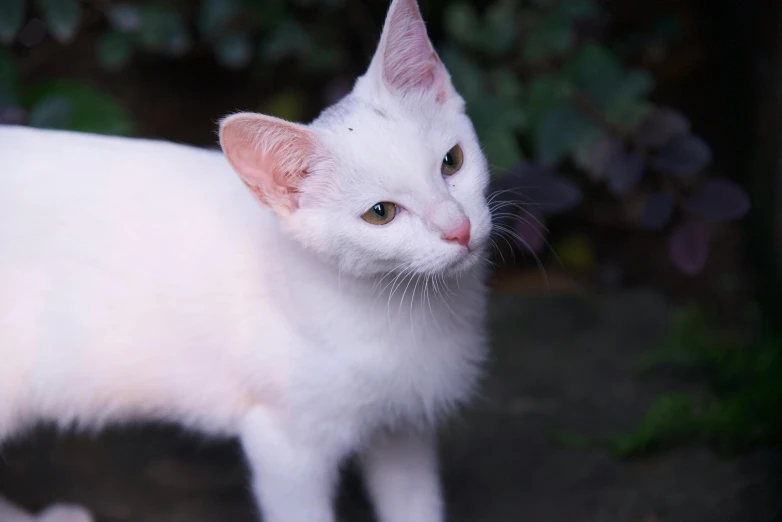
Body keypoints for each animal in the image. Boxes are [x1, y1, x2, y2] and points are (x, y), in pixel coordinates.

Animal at [0, 0, 490, 516]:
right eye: (381, 213)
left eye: (452, 162)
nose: (459, 229)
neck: (407, 310)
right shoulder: (283, 445)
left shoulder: (404, 429)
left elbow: (413, 503)